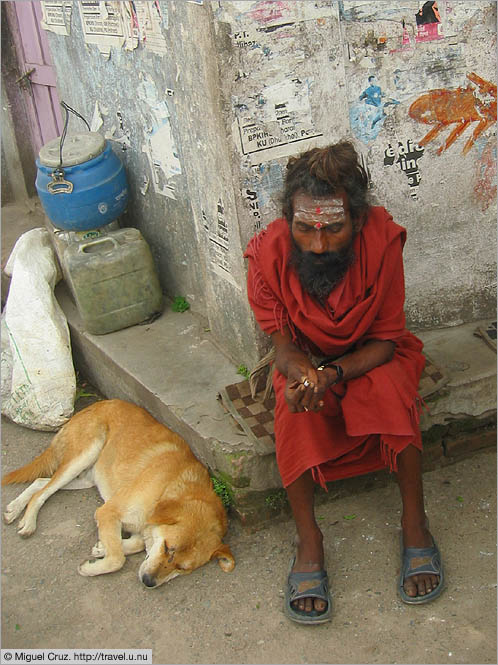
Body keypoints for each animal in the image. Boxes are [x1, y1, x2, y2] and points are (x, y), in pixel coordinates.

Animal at [2, 396, 235, 584]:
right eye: (169, 548)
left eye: (182, 568)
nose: (148, 582)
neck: (170, 489)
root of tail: (95, 405)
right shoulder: (107, 512)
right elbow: (117, 559)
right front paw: (93, 565)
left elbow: (136, 543)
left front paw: (102, 547)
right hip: (84, 454)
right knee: (41, 492)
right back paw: (28, 521)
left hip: (86, 476)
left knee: (40, 482)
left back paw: (14, 509)